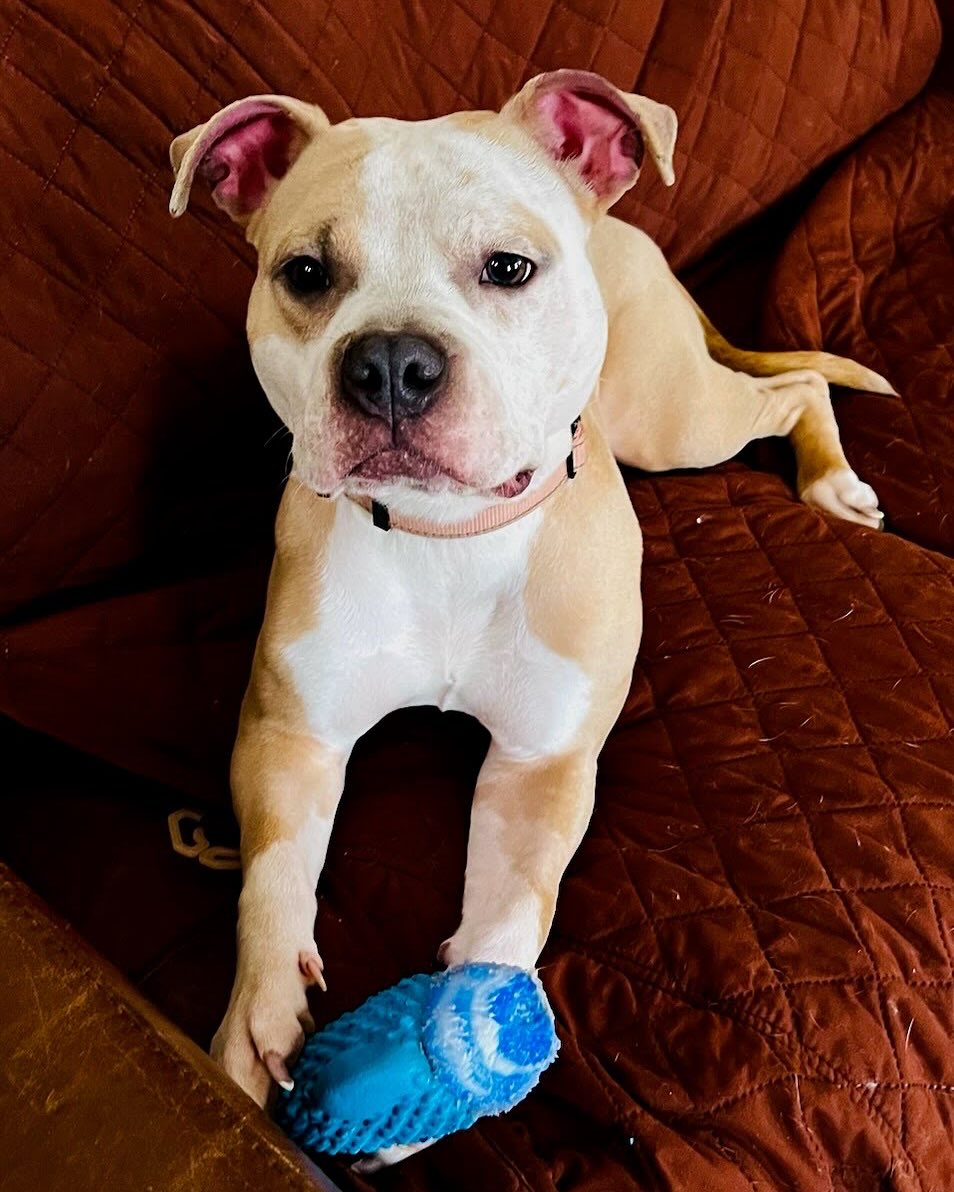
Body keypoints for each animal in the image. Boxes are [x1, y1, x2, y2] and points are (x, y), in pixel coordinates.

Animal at [168, 67, 891, 1163]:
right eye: (305, 272)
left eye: (509, 267)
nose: (390, 362)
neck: (447, 538)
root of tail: (626, 231)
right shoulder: (292, 733)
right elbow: (275, 872)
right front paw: (255, 1024)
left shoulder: (540, 768)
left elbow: (508, 920)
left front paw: (448, 1063)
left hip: (672, 420)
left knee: (798, 381)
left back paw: (832, 480)